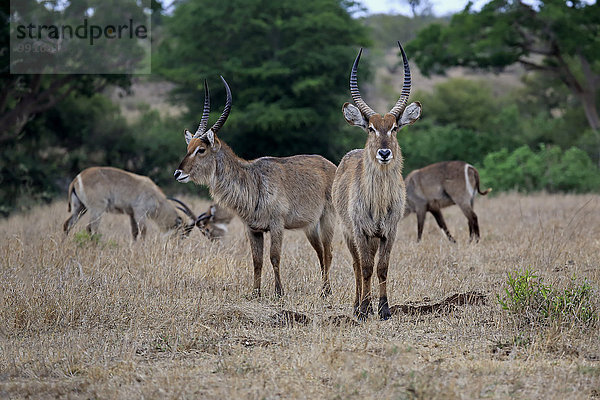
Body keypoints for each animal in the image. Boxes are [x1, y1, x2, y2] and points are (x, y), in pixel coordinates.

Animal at [63, 165, 196, 238]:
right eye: (184, 233)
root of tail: (78, 178)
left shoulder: (131, 214)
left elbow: (134, 233)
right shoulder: (140, 213)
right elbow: (143, 232)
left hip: (80, 208)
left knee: (67, 224)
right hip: (97, 209)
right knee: (91, 228)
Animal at [173, 77, 338, 296]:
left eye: (201, 150)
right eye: (188, 147)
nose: (178, 173)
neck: (253, 181)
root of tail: (331, 165)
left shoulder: (277, 225)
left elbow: (274, 257)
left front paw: (279, 292)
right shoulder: (253, 229)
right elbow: (256, 261)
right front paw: (255, 293)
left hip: (327, 218)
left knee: (328, 252)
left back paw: (326, 291)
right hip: (310, 226)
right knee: (320, 252)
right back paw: (323, 289)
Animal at [332, 42, 422, 320]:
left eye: (394, 127)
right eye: (371, 127)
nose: (384, 153)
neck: (379, 201)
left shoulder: (389, 232)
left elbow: (382, 267)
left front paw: (383, 309)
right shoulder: (360, 231)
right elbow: (366, 268)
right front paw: (363, 309)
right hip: (348, 232)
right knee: (356, 265)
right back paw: (357, 305)